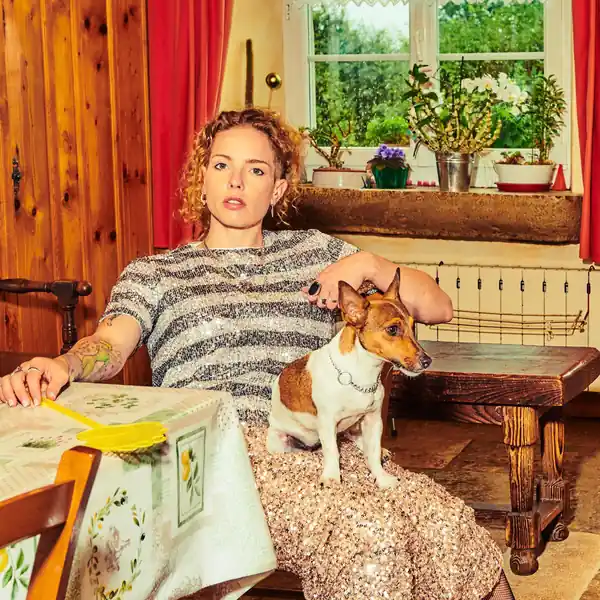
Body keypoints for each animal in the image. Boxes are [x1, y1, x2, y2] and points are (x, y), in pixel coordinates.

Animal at [267, 268, 432, 488]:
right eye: (392, 330)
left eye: (413, 326)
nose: (427, 361)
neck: (361, 376)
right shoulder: (327, 422)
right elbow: (332, 452)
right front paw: (332, 477)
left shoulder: (373, 420)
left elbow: (372, 453)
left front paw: (381, 477)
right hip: (279, 441)